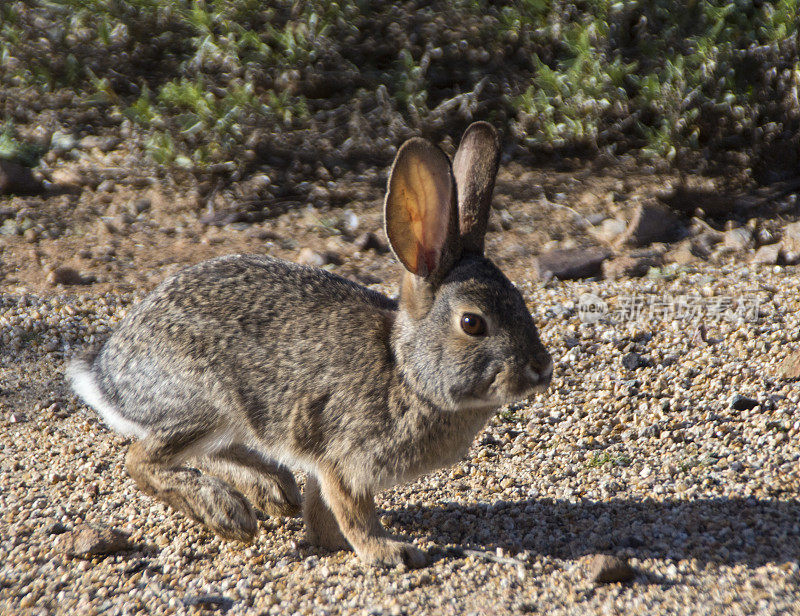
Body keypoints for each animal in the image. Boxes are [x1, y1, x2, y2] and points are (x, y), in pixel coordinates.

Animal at [69, 120, 552, 568]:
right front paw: (388, 551)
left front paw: (332, 543)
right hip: (199, 402)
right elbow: (354, 513)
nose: (542, 369)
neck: (407, 371)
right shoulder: (345, 460)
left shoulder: (325, 461)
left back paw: (271, 490)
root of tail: (107, 372)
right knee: (141, 460)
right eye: (473, 323)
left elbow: (322, 512)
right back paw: (228, 513)